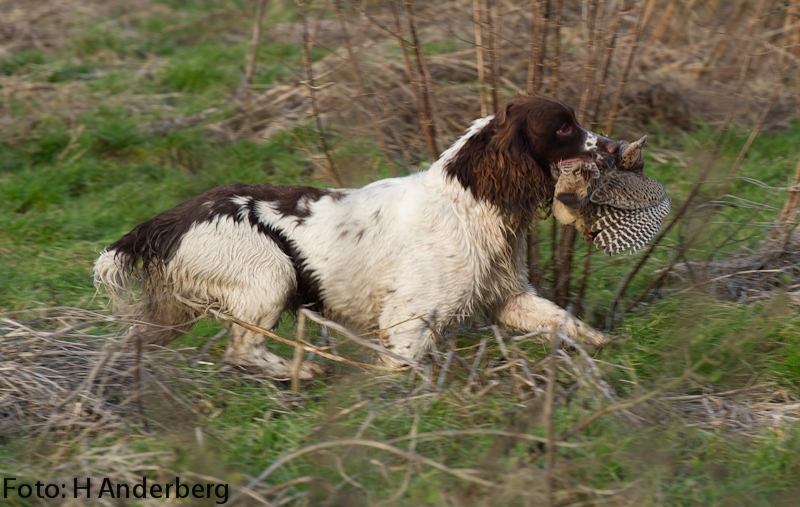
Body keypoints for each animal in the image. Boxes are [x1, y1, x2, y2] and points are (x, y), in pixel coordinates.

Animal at [92, 96, 620, 380]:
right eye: (564, 127)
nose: (615, 147)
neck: (469, 202)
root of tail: (166, 221)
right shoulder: (409, 318)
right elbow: (401, 367)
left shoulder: (509, 297)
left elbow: (564, 321)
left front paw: (606, 344)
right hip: (270, 275)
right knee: (242, 350)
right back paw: (304, 371)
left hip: (174, 308)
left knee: (134, 343)